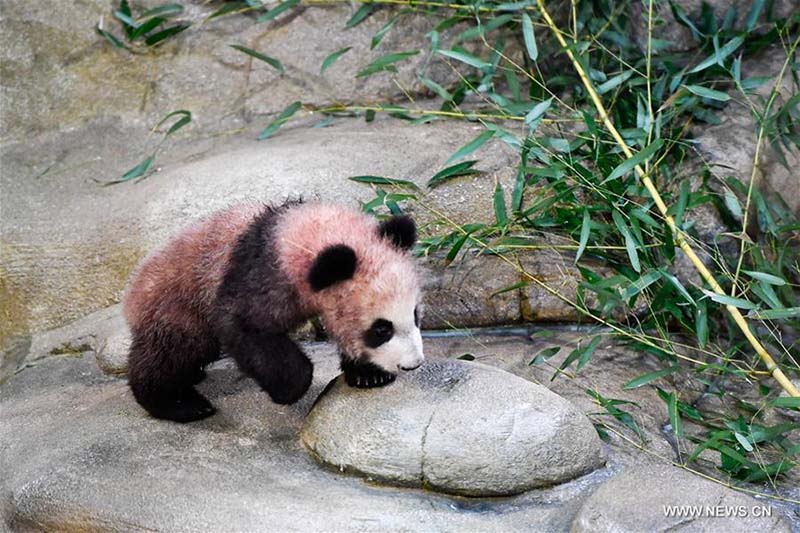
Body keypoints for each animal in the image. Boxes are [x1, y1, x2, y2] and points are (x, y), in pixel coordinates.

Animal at [123, 201, 424, 423]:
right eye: (381, 329)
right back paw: (178, 403)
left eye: (415, 315)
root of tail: (133, 288)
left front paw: (369, 374)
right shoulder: (261, 274)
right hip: (178, 303)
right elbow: (241, 323)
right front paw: (289, 389)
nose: (413, 364)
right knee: (171, 352)